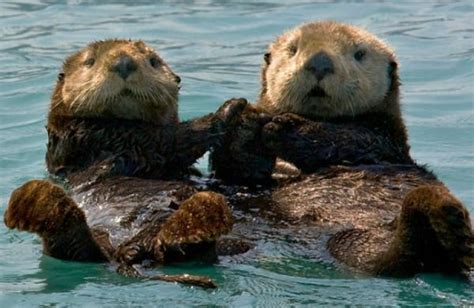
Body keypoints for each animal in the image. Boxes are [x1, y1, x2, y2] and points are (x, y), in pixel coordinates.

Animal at [4, 39, 248, 288]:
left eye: (153, 61)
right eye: (90, 61)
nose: (123, 63)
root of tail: (130, 253)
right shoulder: (104, 138)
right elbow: (173, 140)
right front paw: (232, 107)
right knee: (73, 249)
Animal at [212, 21, 474, 276]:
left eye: (359, 54)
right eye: (293, 49)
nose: (319, 63)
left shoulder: (382, 139)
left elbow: (346, 139)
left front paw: (285, 127)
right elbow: (242, 170)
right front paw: (247, 121)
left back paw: (443, 223)